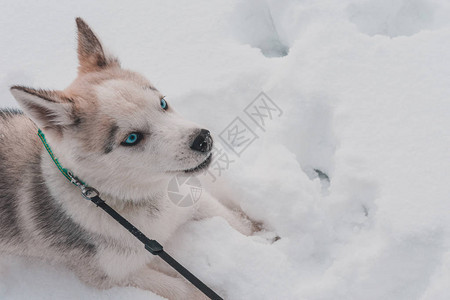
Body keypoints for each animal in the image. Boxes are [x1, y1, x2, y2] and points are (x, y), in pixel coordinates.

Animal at [0, 17, 253, 298]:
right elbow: (185, 290)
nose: (203, 139)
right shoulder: (111, 276)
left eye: (162, 103)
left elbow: (234, 222)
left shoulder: (188, 201)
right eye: (131, 138)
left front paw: (265, 239)